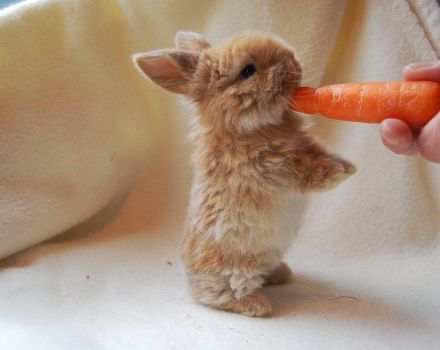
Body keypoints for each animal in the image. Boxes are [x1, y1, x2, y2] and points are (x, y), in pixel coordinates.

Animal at [132, 30, 356, 318]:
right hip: (237, 267)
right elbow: (311, 173)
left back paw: (282, 274)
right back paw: (256, 305)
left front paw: (348, 165)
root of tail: (192, 279)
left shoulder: (306, 147)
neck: (245, 128)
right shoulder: (278, 168)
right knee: (213, 295)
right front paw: (341, 174)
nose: (293, 60)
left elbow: (320, 153)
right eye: (247, 71)